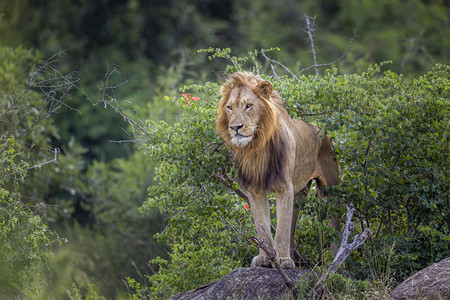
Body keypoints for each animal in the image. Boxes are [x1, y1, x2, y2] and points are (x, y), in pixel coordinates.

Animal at [216, 71, 340, 268]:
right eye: (229, 107)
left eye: (248, 106)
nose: (235, 127)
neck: (257, 147)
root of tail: (323, 131)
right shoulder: (255, 189)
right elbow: (262, 227)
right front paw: (265, 258)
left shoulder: (284, 187)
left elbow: (281, 228)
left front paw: (283, 260)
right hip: (299, 194)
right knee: (292, 228)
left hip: (330, 190)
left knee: (335, 228)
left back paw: (336, 262)